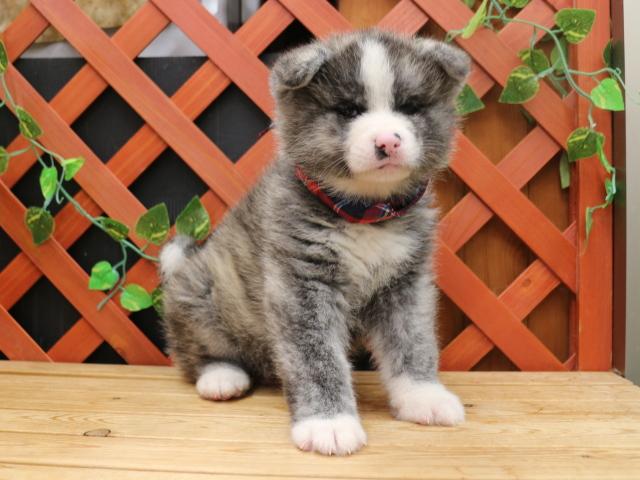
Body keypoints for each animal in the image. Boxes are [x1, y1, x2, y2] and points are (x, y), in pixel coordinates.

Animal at [159, 29, 470, 456]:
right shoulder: (302, 286)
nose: (388, 141)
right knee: (195, 354)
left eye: (409, 107)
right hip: (204, 297)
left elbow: (413, 341)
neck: (363, 213)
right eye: (349, 110)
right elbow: (316, 359)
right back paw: (221, 377)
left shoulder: (404, 284)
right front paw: (329, 423)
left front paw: (423, 396)